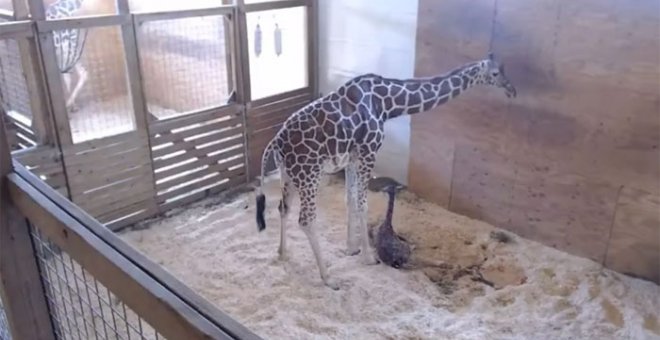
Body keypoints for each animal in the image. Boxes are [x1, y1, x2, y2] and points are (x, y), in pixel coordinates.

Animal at [253, 51, 516, 290]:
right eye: (495, 73)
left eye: (504, 69)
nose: (512, 90)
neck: (387, 104)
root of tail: (275, 143)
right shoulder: (369, 152)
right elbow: (363, 204)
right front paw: (368, 257)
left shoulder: (352, 157)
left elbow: (350, 200)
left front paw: (351, 248)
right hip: (309, 175)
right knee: (306, 220)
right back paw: (328, 278)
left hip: (289, 175)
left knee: (283, 208)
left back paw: (283, 253)